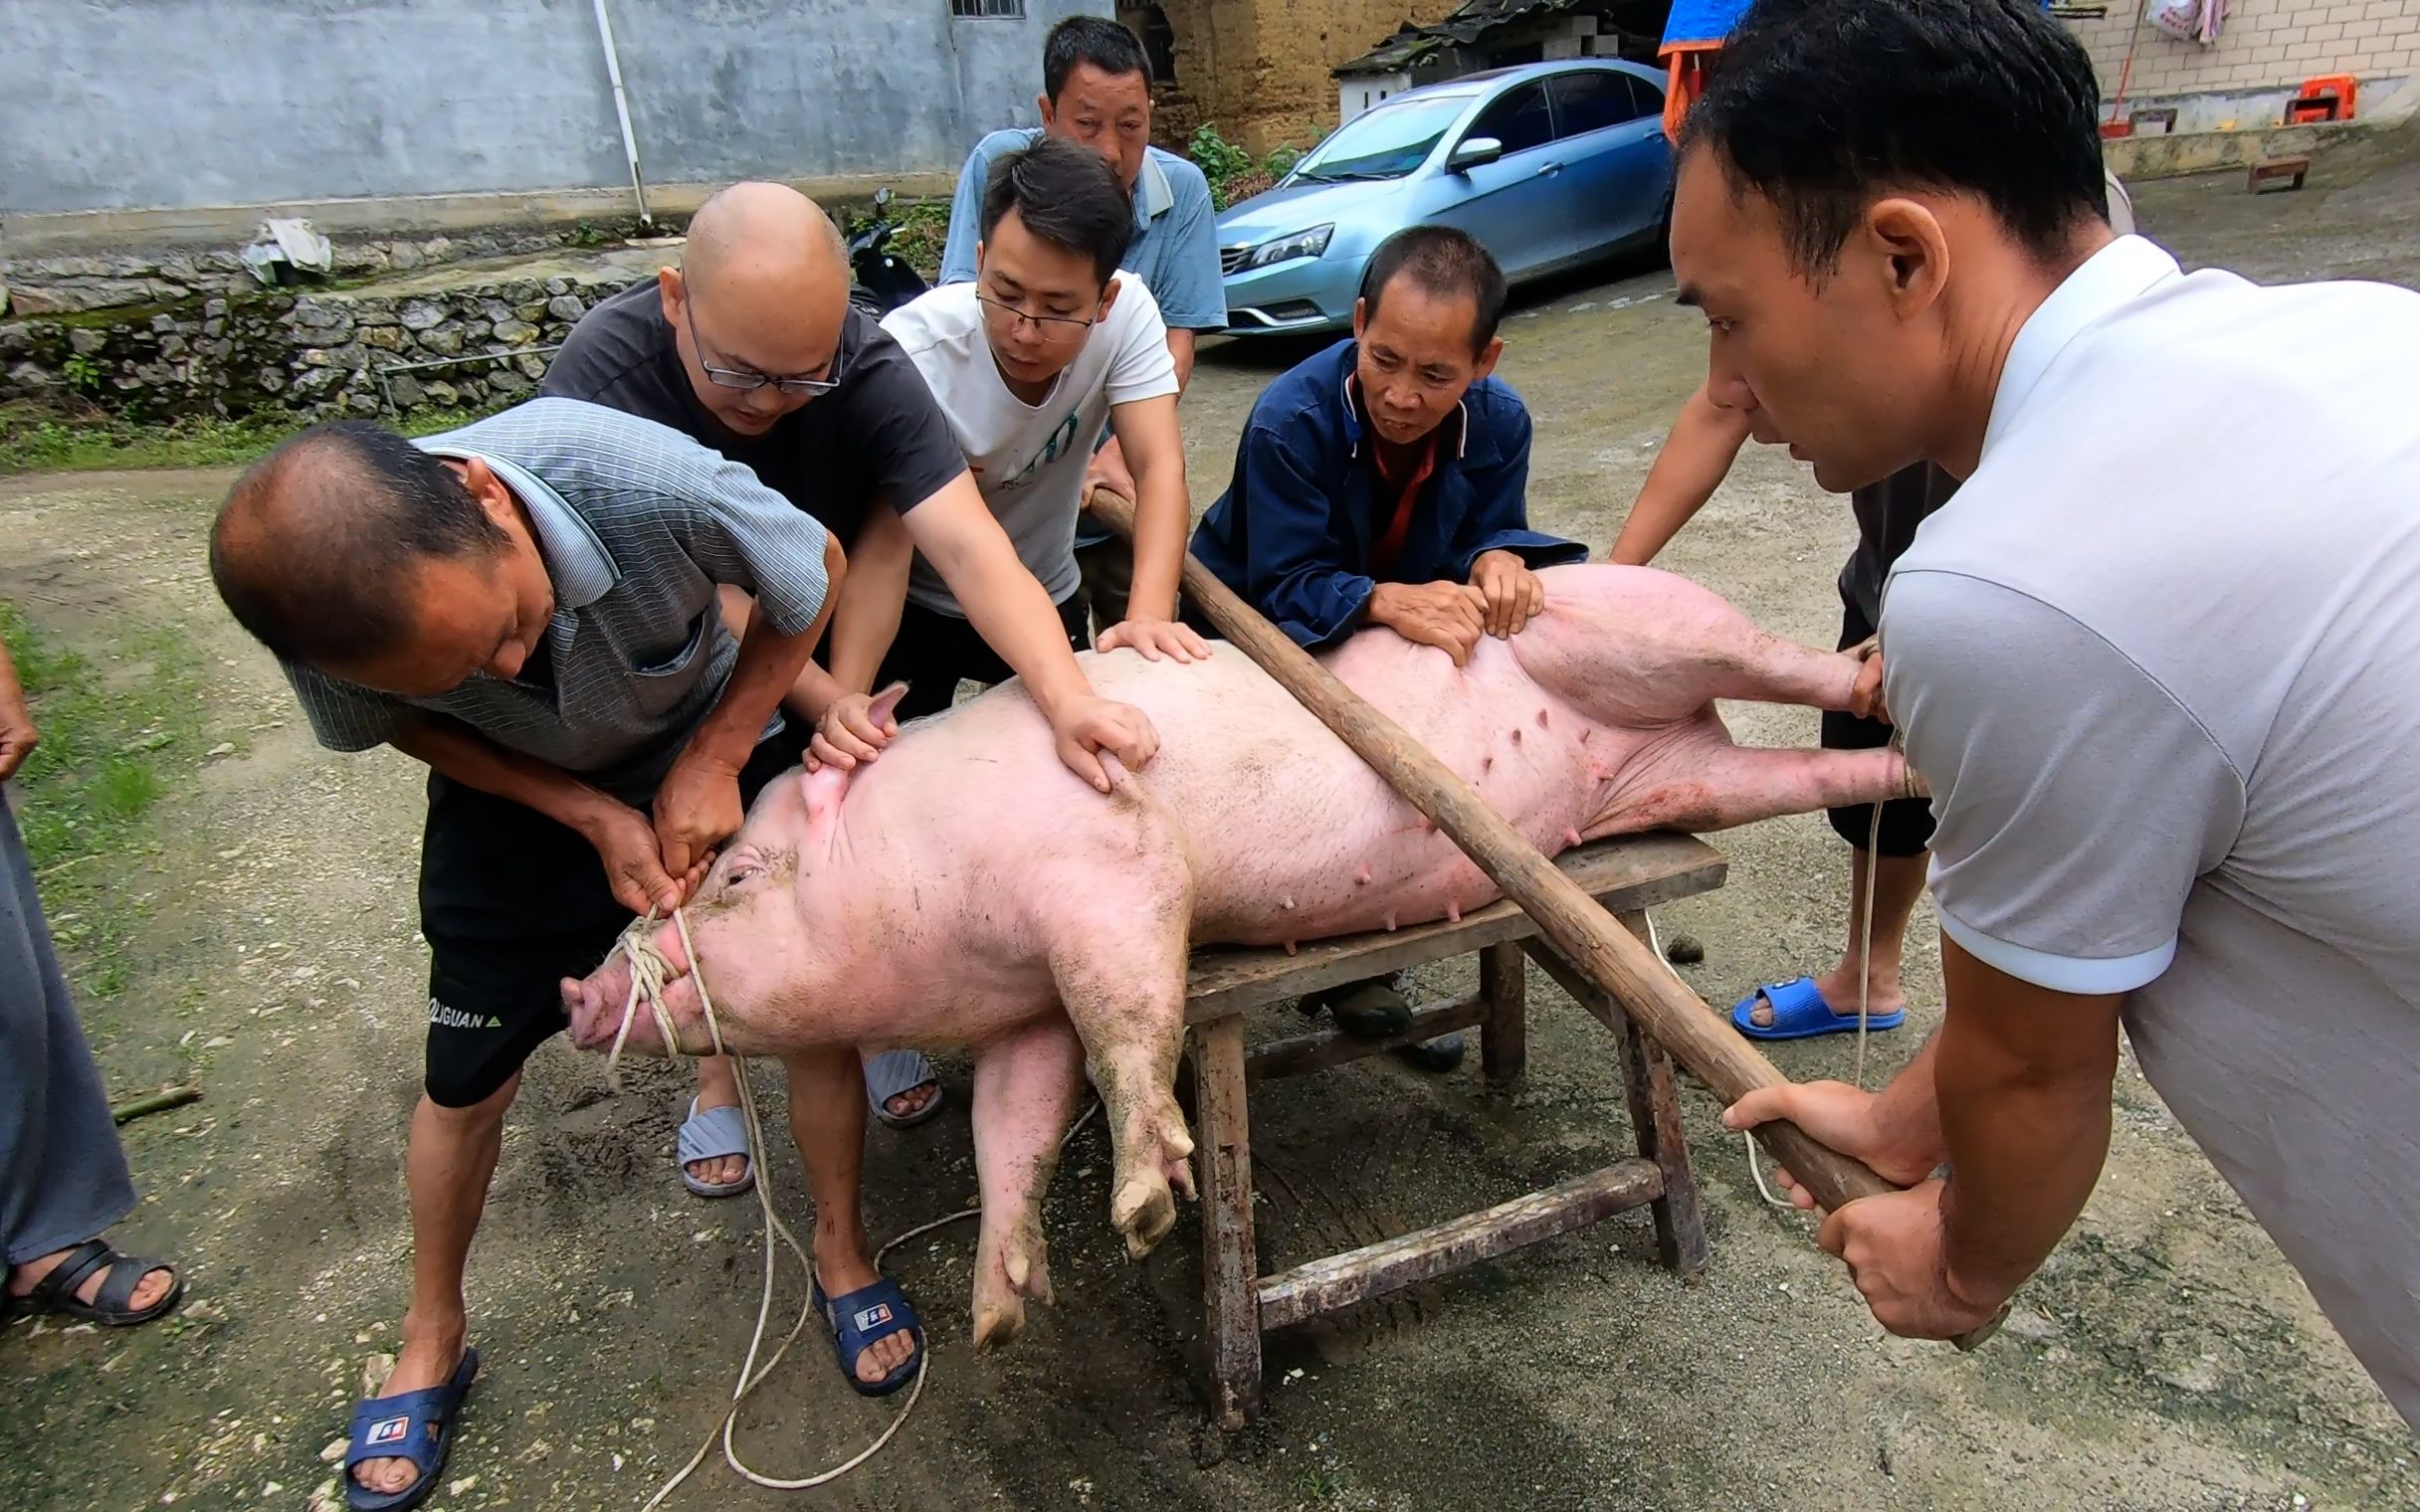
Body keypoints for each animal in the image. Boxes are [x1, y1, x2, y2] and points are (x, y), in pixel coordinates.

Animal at [561, 561, 1907, 1335]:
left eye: (738, 874)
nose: (579, 985)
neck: (934, 869)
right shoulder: (1018, 1010)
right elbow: (1014, 1128)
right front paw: (999, 1319)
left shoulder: (1116, 874)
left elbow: (1128, 1023)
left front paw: (1151, 1203)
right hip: (1677, 774)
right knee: (1797, 765)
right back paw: (1897, 748)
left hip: (1650, 623)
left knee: (1777, 658)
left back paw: (1879, 670)